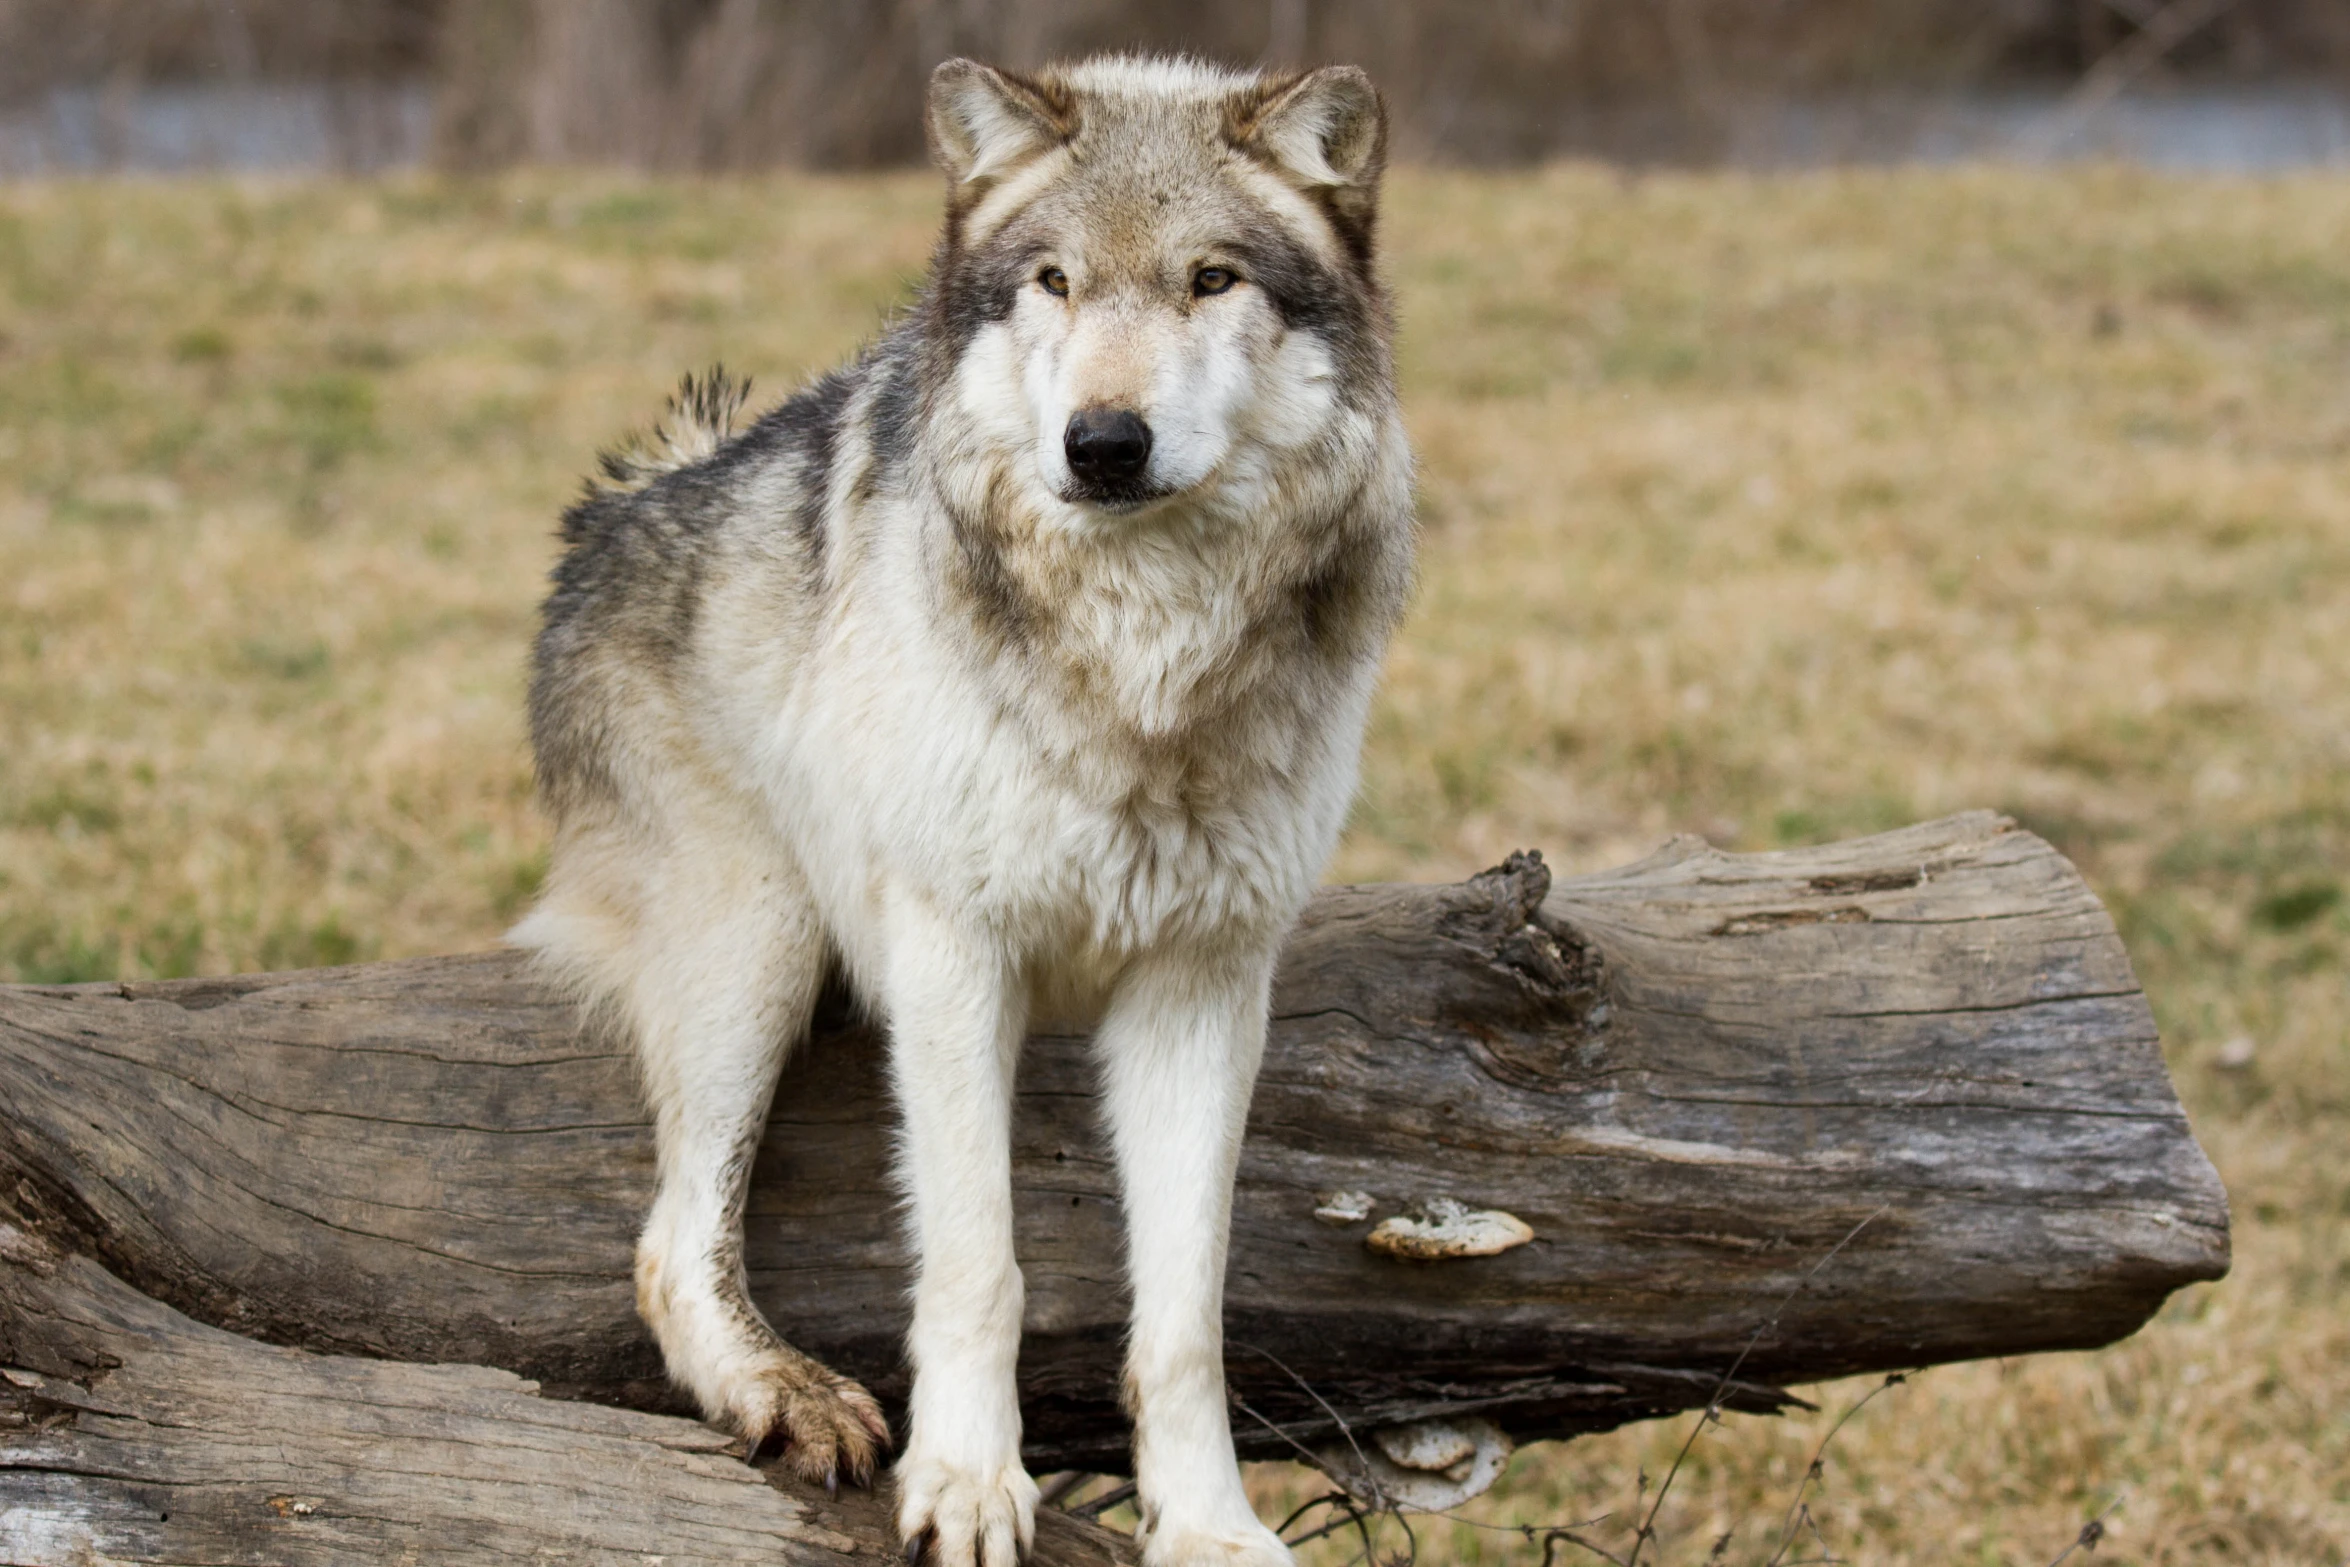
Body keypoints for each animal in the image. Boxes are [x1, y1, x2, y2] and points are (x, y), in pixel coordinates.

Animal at [517, 55, 1410, 1567]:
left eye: (1210, 279)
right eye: (1052, 280)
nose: (1102, 444)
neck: (1139, 658)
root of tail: (631, 499)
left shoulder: (1204, 983)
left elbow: (1187, 1316)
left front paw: (1207, 1521)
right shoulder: (950, 954)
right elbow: (978, 1262)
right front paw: (969, 1482)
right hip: (759, 936)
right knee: (670, 1247)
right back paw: (787, 1391)